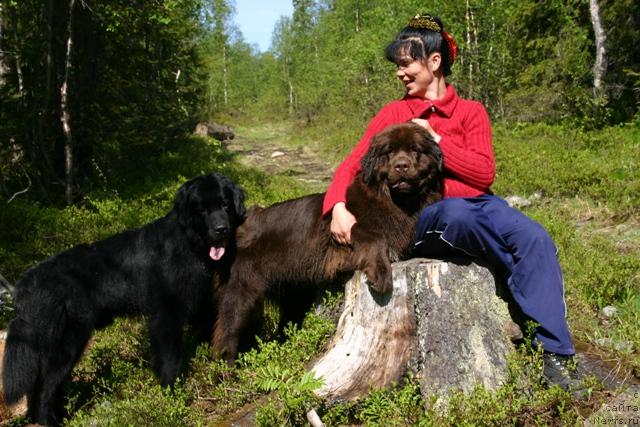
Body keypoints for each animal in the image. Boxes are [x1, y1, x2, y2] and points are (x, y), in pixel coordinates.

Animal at [1, 172, 246, 426]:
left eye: (225, 205)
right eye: (202, 209)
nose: (221, 229)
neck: (188, 243)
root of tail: (25, 284)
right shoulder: (166, 314)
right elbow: (170, 359)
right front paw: (171, 395)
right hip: (67, 341)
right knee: (45, 388)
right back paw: (50, 420)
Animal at [212, 123, 442, 364]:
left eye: (415, 150)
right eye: (389, 152)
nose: (402, 165)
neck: (397, 202)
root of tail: (238, 226)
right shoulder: (345, 229)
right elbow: (375, 237)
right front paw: (381, 275)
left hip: (295, 294)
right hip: (241, 292)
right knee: (227, 331)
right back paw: (226, 368)